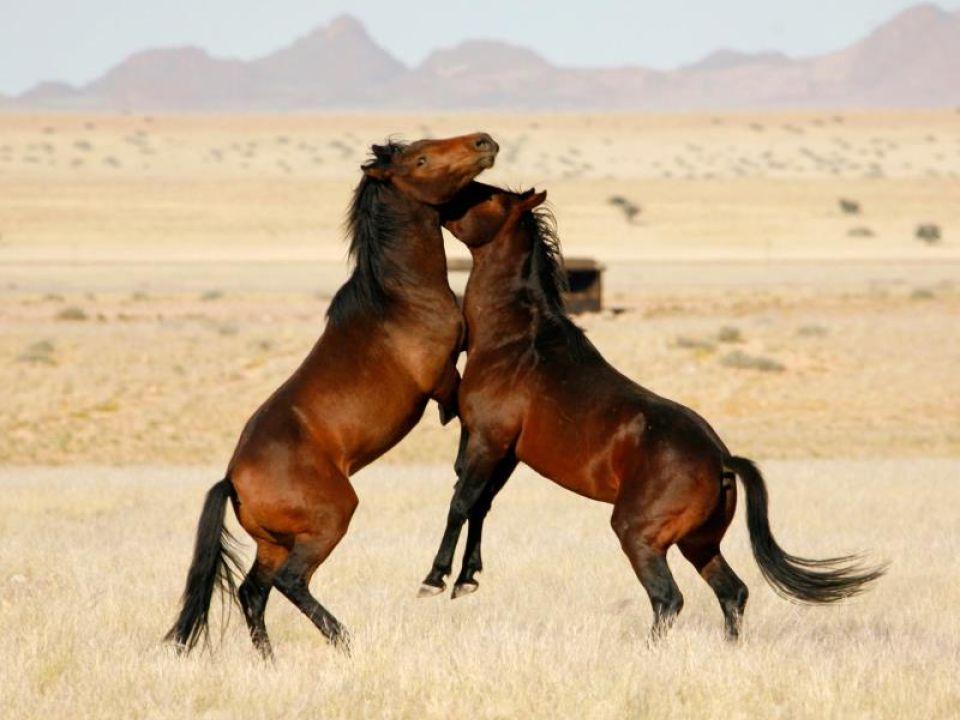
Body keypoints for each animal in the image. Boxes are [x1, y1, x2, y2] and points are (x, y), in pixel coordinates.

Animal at [165, 132, 498, 656]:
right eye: (421, 159)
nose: (483, 141)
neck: (400, 298)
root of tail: (233, 480)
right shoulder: (444, 380)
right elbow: (464, 428)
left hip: (274, 542)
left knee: (253, 591)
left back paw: (270, 660)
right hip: (329, 521)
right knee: (290, 582)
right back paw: (344, 639)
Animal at [420, 184, 884, 640]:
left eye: (488, 196)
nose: (444, 202)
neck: (517, 342)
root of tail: (721, 459)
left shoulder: (488, 440)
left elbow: (461, 503)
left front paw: (436, 578)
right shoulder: (505, 452)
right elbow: (480, 505)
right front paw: (466, 579)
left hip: (639, 536)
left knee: (669, 598)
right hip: (699, 544)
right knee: (732, 591)